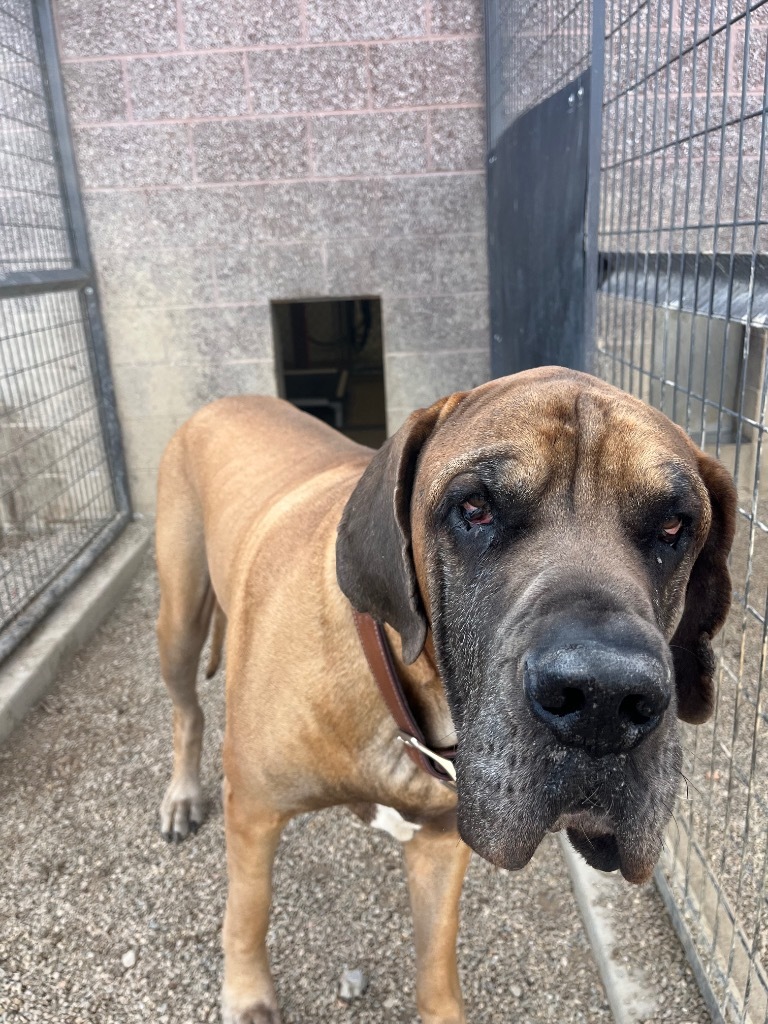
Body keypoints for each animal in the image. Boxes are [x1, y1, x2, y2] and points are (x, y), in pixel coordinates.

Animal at [156, 368, 741, 1024]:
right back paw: (182, 796)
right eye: (475, 508)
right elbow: (249, 911)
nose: (604, 700)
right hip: (178, 619)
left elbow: (437, 960)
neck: (402, 697)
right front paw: (247, 994)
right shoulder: (254, 811)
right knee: (187, 712)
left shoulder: (439, 845)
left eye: (673, 526)